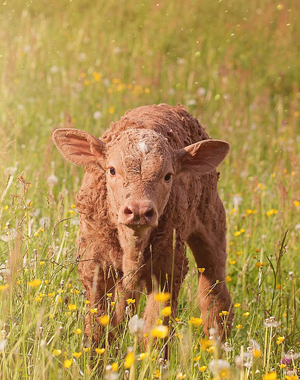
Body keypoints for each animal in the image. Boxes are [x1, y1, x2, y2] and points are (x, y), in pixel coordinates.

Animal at [52, 104, 233, 342]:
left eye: (168, 176)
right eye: (112, 170)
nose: (138, 210)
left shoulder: (168, 269)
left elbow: (156, 329)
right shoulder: (94, 265)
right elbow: (98, 324)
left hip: (212, 223)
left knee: (214, 293)